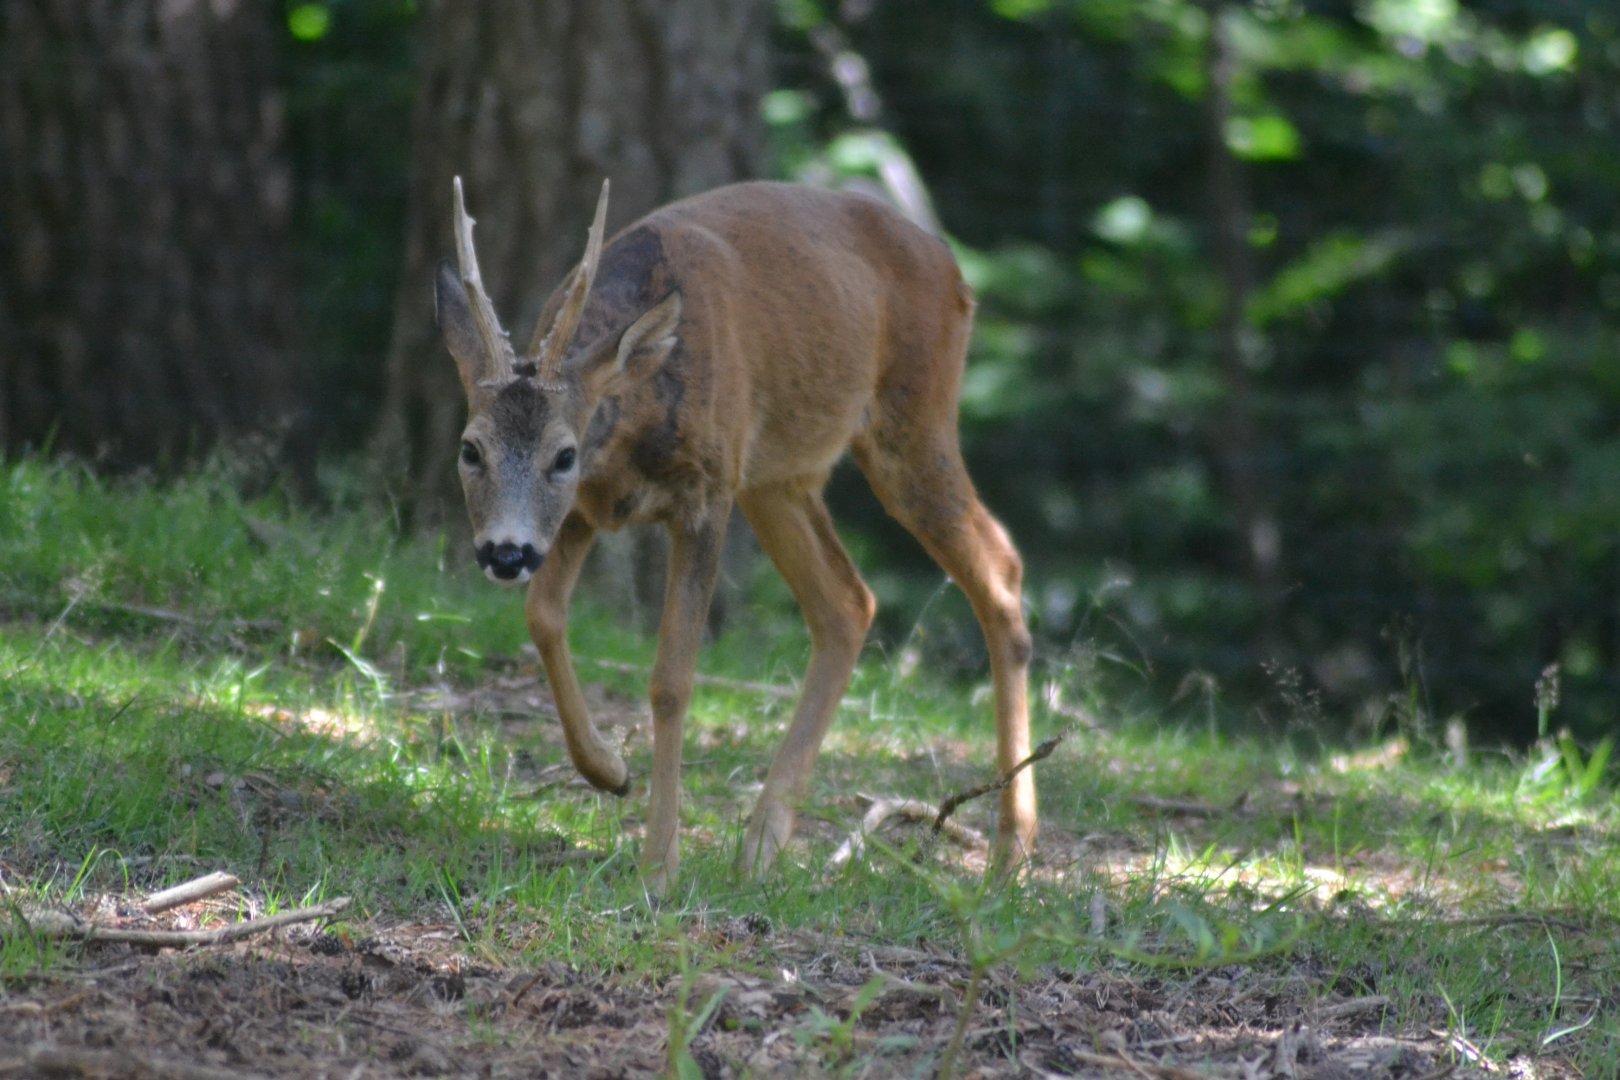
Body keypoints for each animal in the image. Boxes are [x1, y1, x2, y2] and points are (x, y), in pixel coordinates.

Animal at [436, 176, 1036, 891]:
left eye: (563, 454)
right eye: (470, 448)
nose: (504, 552)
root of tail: (953, 268)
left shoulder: (707, 495)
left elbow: (672, 679)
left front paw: (659, 867)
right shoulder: (580, 514)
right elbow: (543, 616)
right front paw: (610, 771)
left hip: (912, 422)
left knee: (998, 565)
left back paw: (1012, 851)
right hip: (779, 477)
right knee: (848, 602)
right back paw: (761, 847)